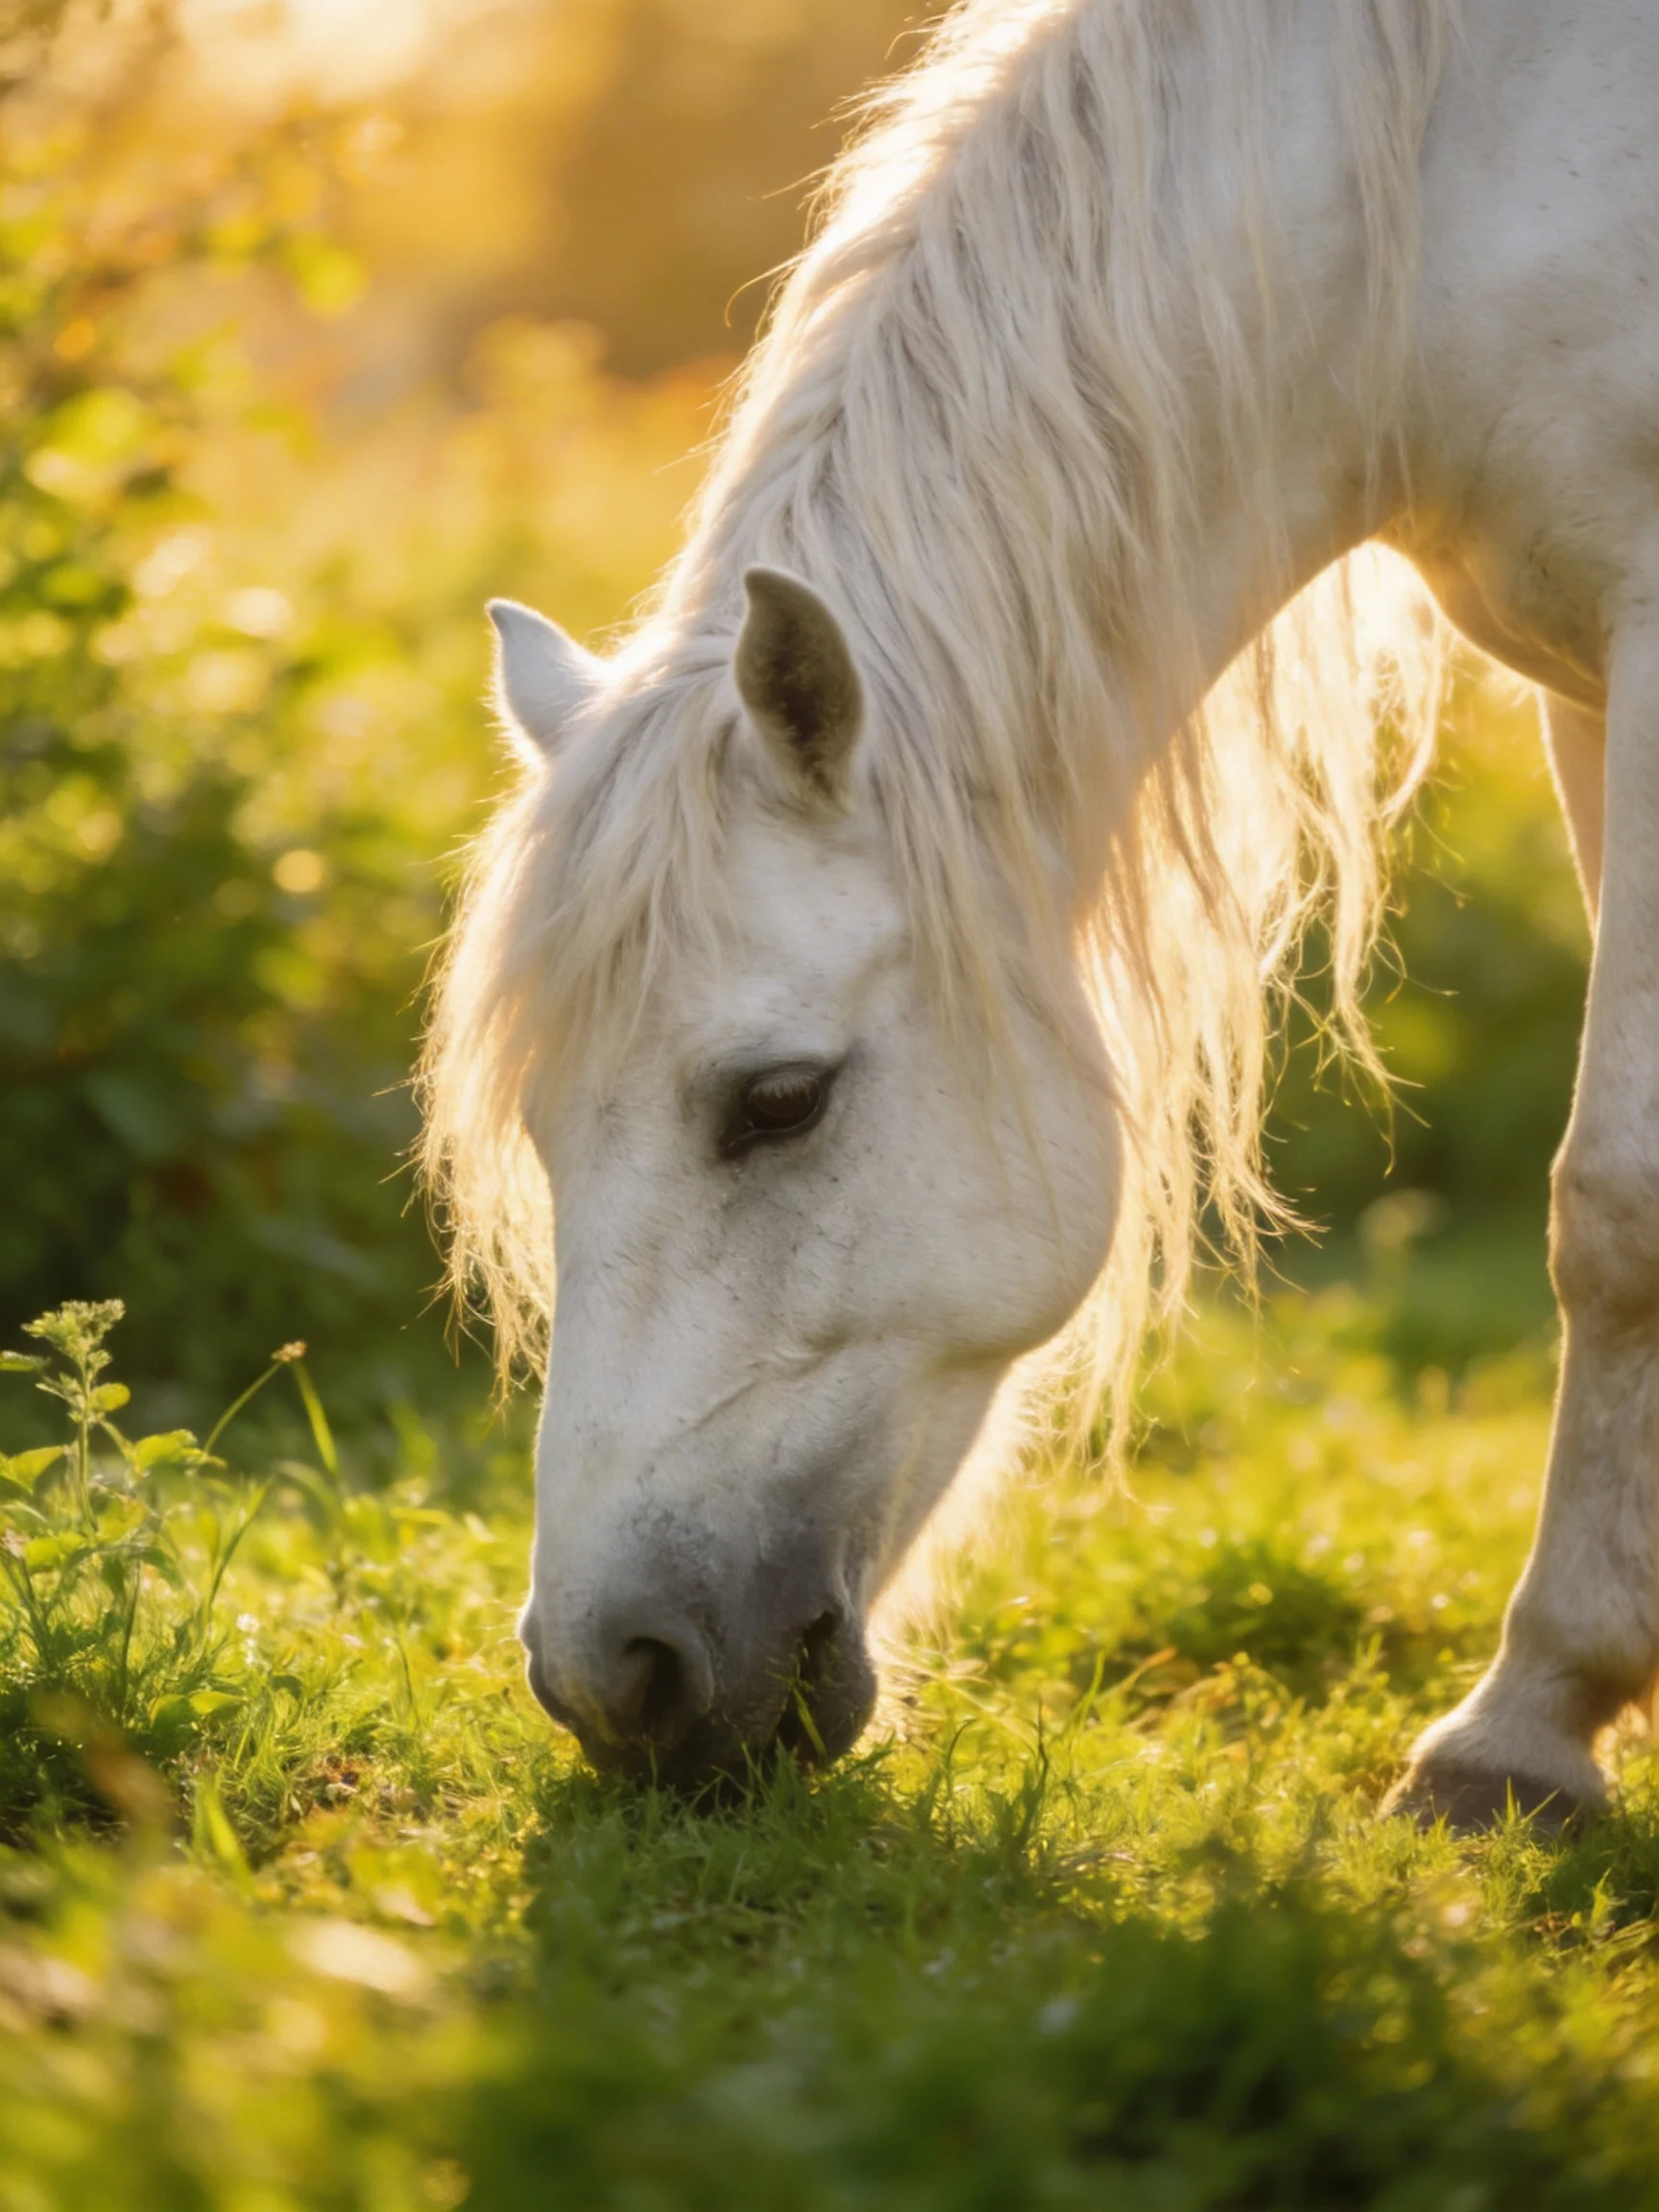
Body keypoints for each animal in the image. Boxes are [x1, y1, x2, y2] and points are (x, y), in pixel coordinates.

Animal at [422, 0, 1659, 1824]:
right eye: (542, 1131)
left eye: (777, 1101)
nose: (609, 1680)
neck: (1458, 165)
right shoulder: (1583, 681)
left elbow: (1612, 1203)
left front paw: (1520, 1731)